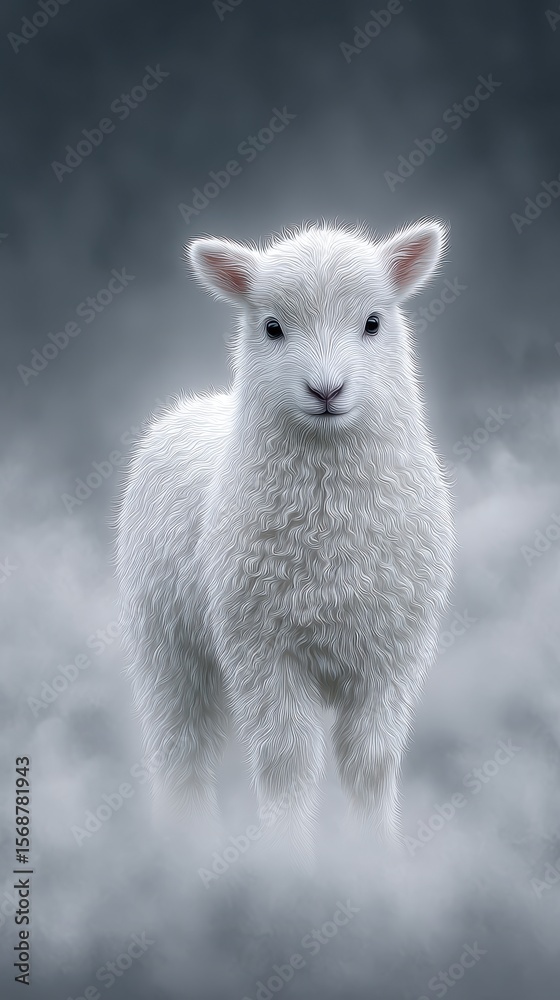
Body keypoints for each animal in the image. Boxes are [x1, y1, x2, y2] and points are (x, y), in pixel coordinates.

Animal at [115, 218, 455, 871]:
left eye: (374, 321)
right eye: (272, 326)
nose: (327, 389)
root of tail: (192, 404)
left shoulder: (393, 651)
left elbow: (370, 763)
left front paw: (377, 865)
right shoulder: (262, 647)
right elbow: (287, 763)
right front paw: (288, 868)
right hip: (168, 638)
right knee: (180, 748)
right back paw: (182, 852)